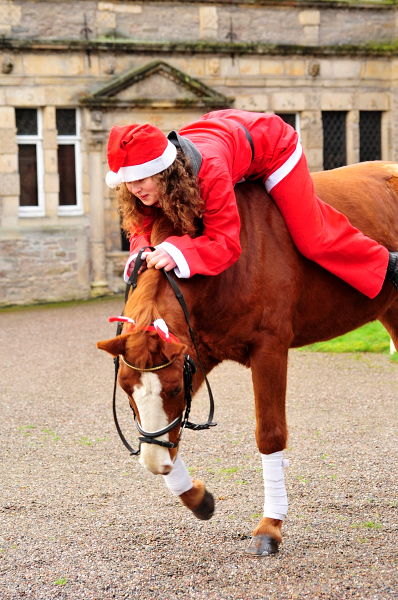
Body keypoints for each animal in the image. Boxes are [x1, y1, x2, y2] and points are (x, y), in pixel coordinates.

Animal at [98, 161, 398, 556]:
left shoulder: (269, 349)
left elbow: (269, 435)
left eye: (174, 388)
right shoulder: (198, 351)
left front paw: (270, 525)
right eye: (126, 390)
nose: (155, 461)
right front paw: (195, 495)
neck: (225, 271)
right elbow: (172, 437)